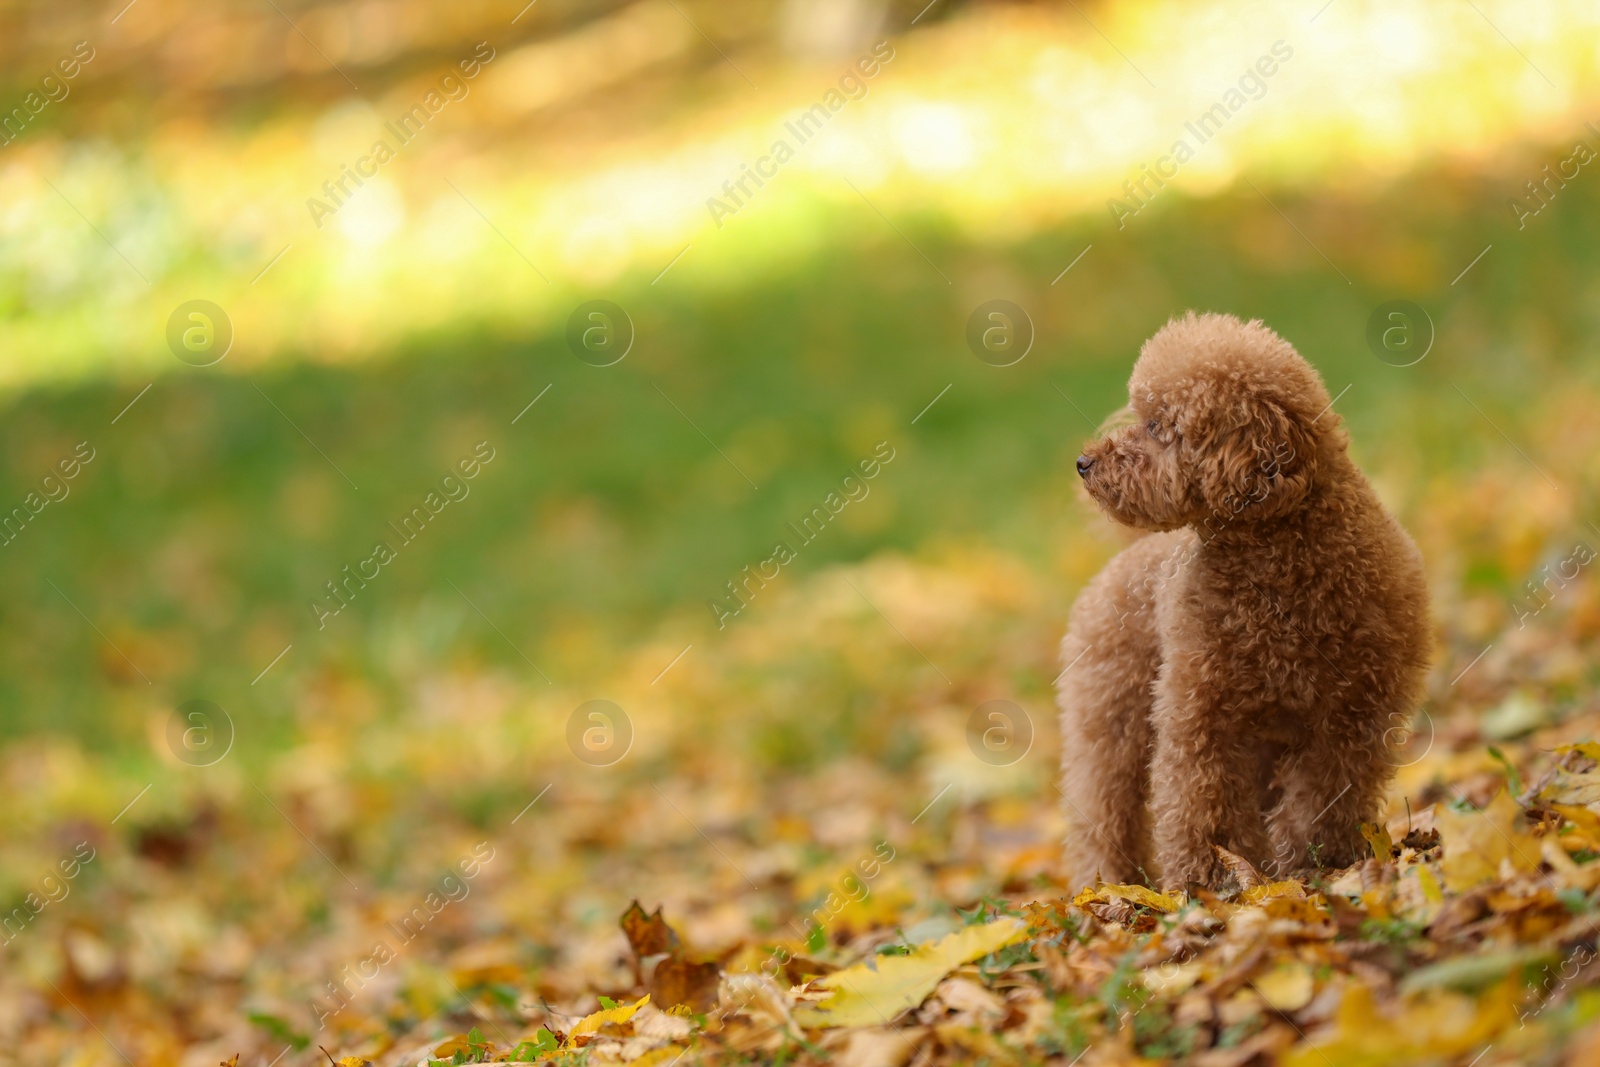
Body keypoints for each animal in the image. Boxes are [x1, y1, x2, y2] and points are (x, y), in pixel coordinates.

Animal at [1056, 313, 1433, 889]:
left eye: (1158, 426)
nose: (1083, 462)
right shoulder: (1203, 714)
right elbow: (1201, 802)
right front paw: (1217, 880)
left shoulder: (1352, 716)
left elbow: (1324, 796)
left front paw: (1316, 861)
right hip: (1110, 717)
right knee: (1102, 811)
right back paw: (1107, 886)